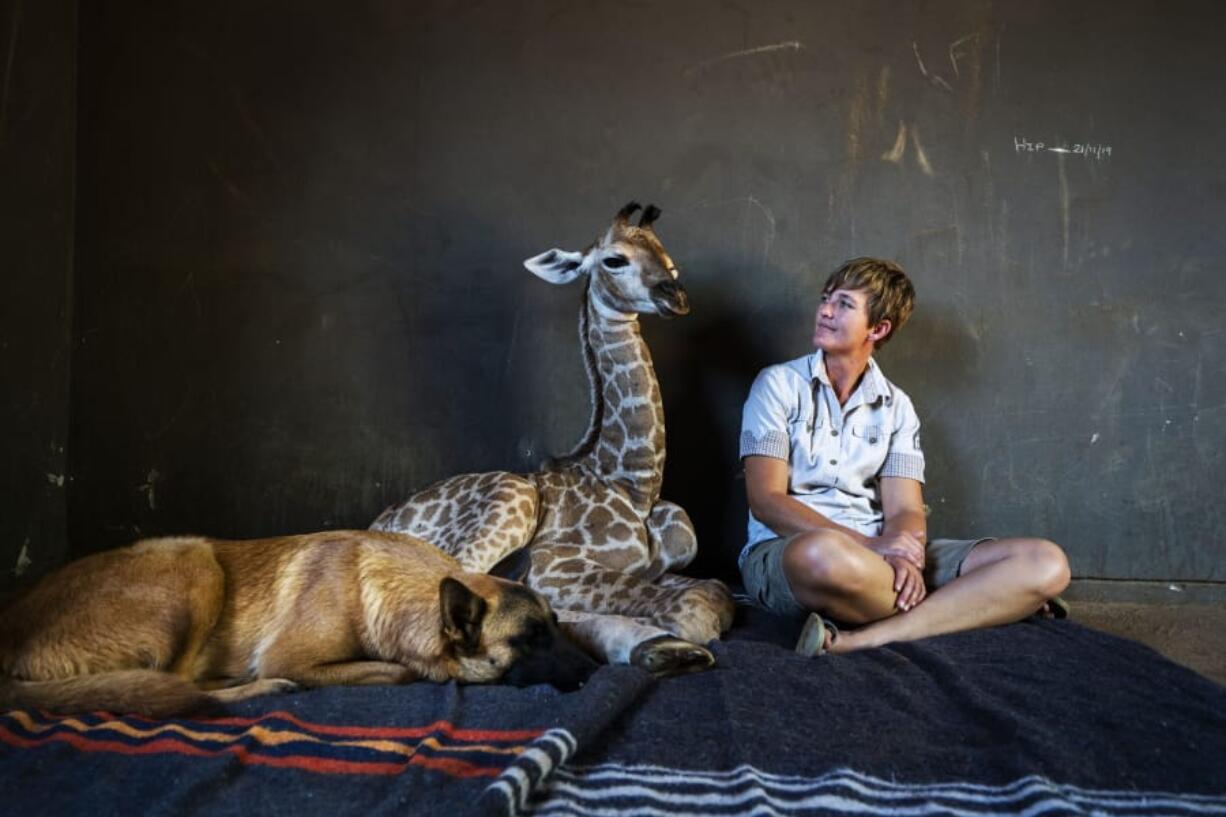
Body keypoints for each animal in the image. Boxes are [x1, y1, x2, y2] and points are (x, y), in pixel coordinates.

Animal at [0, 527, 593, 711]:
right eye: (531, 638)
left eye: (556, 624)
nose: (595, 673)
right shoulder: (295, 655)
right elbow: (402, 670)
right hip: (194, 563)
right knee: (180, 686)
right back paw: (256, 688)